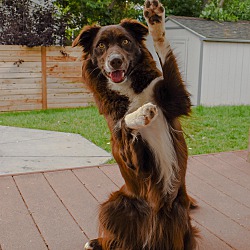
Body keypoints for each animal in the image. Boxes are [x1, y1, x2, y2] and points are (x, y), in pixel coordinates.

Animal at [73, 0, 198, 249]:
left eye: (125, 42)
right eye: (101, 46)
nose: (115, 61)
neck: (130, 89)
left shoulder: (176, 100)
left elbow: (164, 50)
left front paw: (155, 21)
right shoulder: (132, 156)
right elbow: (123, 122)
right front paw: (142, 114)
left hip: (179, 213)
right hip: (113, 205)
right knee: (116, 238)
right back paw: (96, 242)